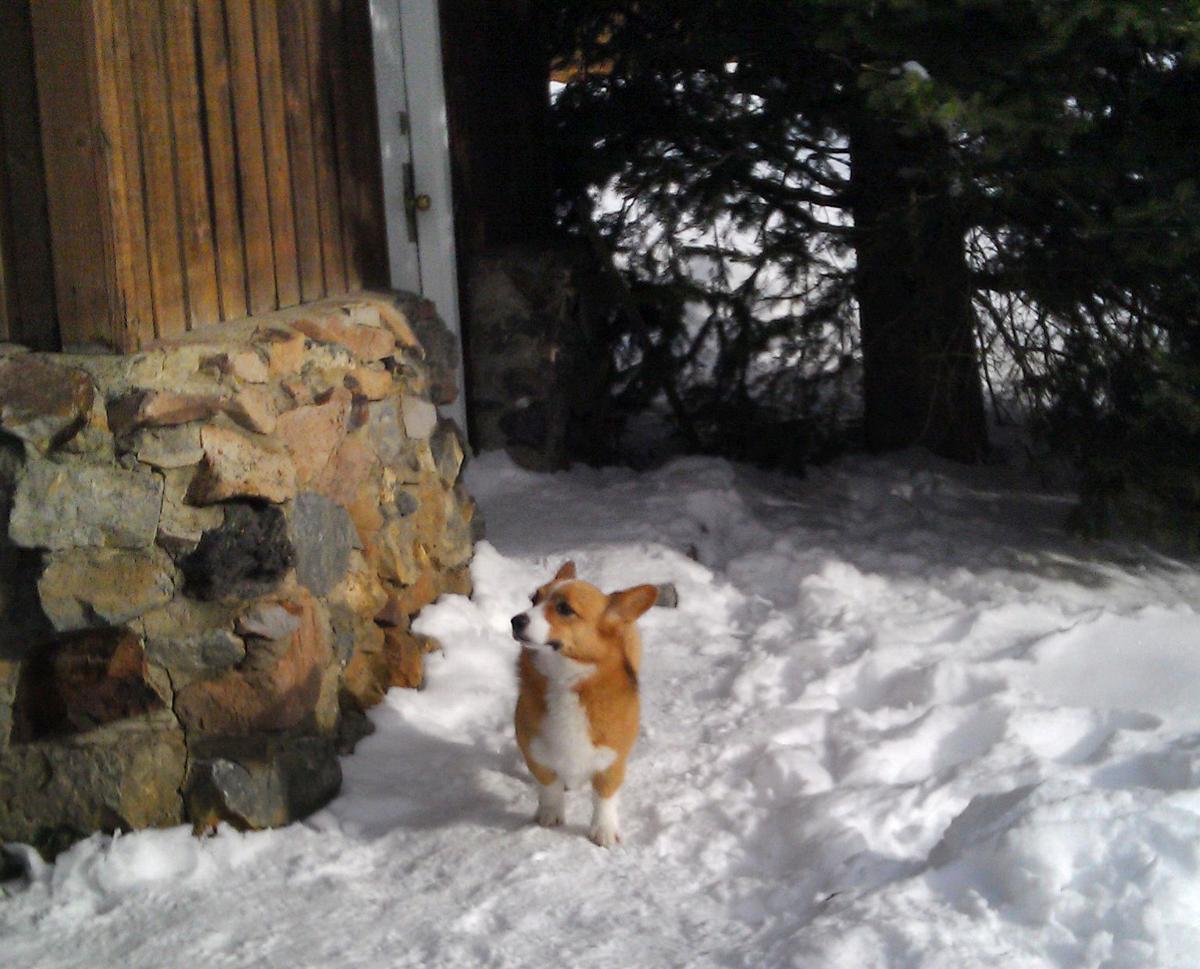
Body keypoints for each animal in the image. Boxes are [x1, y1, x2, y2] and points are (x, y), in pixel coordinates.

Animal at [506, 563, 657, 844]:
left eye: (565, 609)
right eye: (534, 599)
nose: (515, 620)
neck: (566, 680)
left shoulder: (611, 760)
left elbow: (604, 798)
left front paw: (604, 831)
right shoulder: (537, 752)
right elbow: (549, 786)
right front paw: (550, 815)